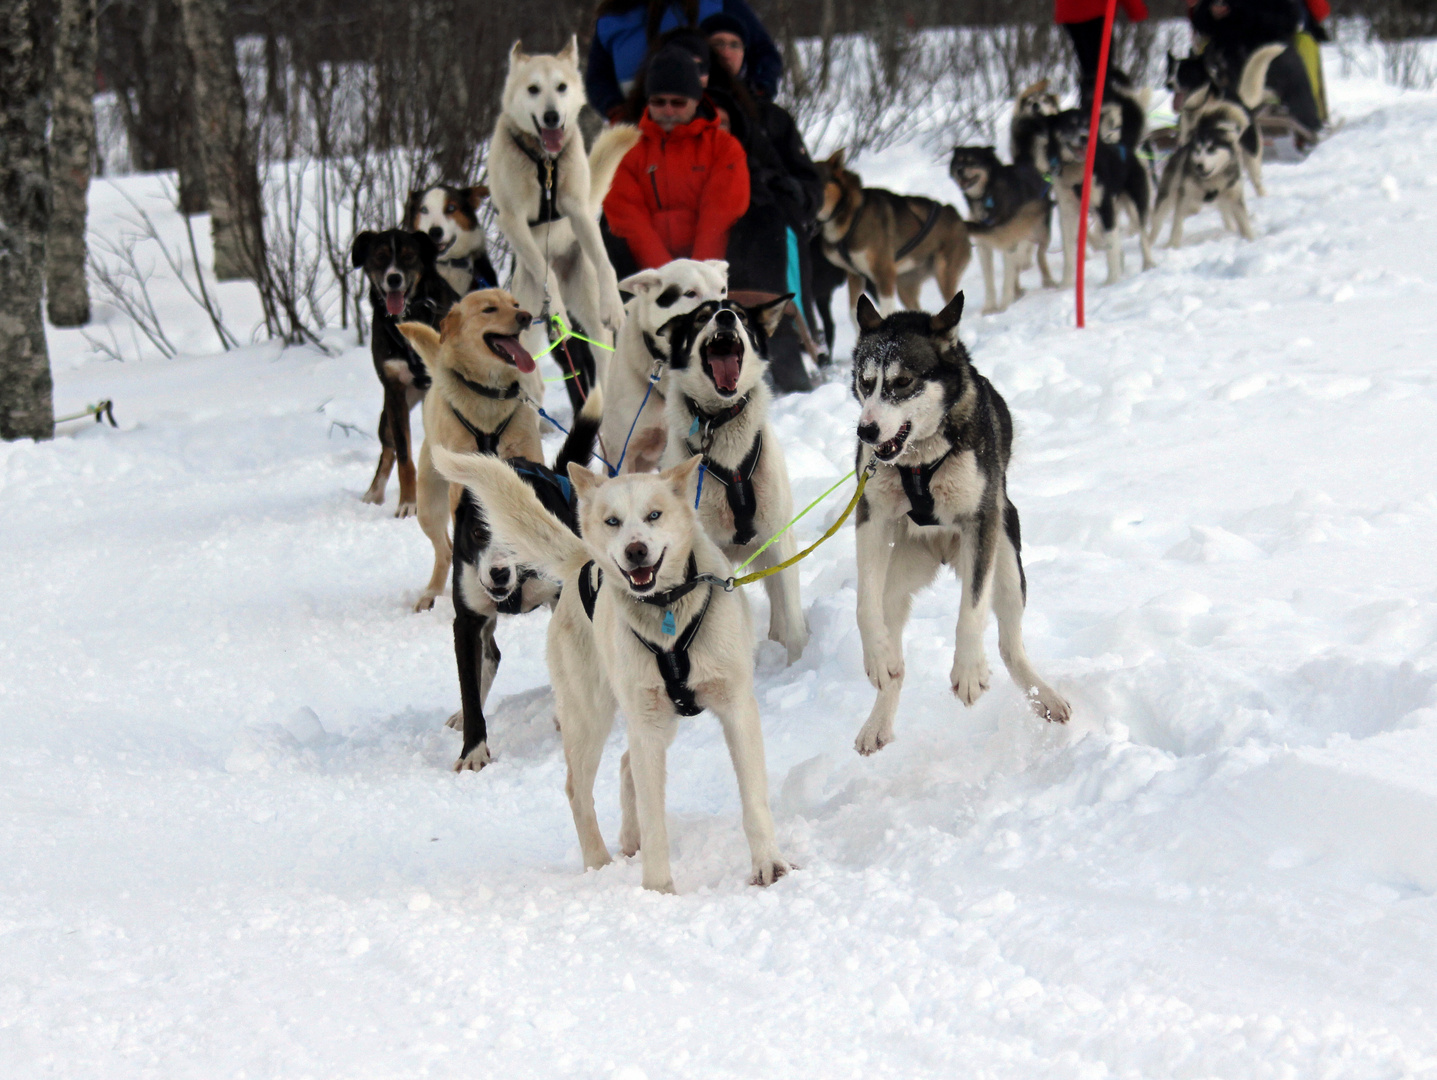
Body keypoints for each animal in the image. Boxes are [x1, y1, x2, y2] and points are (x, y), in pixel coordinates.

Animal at [349, 228, 456, 514]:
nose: (394, 278)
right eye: (380, 256)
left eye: (408, 256)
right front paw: (408, 503)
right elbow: (404, 456)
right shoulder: (394, 390)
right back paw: (374, 494)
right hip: (388, 417)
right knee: (389, 451)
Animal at [396, 288, 546, 614]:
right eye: (489, 309)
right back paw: (431, 593)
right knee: (444, 549)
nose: (525, 316)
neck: (489, 396)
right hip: (429, 508)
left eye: (515, 304)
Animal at [433, 448, 793, 896]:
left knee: (625, 763)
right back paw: (599, 862)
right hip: (593, 718)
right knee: (578, 788)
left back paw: (629, 838)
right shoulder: (647, 725)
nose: (635, 550)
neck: (666, 612)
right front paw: (658, 891)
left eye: (654, 514)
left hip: (652, 721)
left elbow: (753, 800)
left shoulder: (736, 708)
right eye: (612, 521)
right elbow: (655, 819)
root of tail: (581, 562)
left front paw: (768, 865)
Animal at [658, 297, 810, 666]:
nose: (725, 317)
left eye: (740, 314)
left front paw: (798, 664)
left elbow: (792, 614)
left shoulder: (778, 537)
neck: (719, 422)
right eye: (702, 317)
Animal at [850, 291, 1069, 752]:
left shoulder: (980, 521)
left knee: (1009, 644)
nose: (867, 431)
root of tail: (941, 550)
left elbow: (971, 610)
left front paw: (968, 671)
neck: (919, 460)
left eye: (902, 382)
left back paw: (1043, 696)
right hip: (897, 576)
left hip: (1005, 563)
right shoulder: (872, 518)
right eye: (865, 381)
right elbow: (864, 606)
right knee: (893, 649)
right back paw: (879, 713)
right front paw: (876, 657)